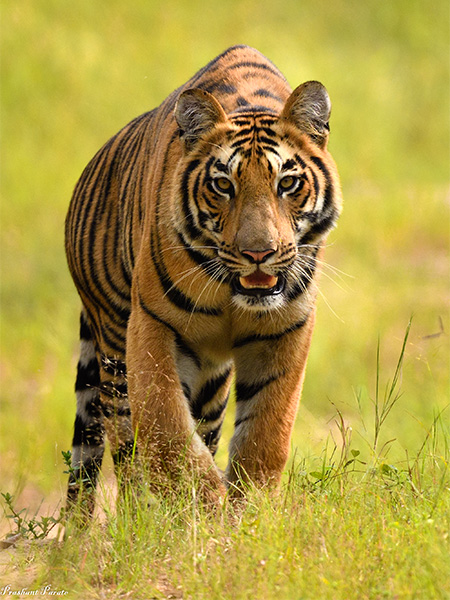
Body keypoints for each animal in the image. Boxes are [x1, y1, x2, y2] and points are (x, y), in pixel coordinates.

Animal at [64, 44, 342, 512]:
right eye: (223, 185)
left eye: (287, 183)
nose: (258, 254)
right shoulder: (153, 324)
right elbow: (167, 428)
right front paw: (202, 509)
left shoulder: (286, 328)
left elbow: (265, 435)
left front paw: (250, 512)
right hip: (114, 347)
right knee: (125, 448)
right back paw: (140, 516)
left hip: (211, 381)